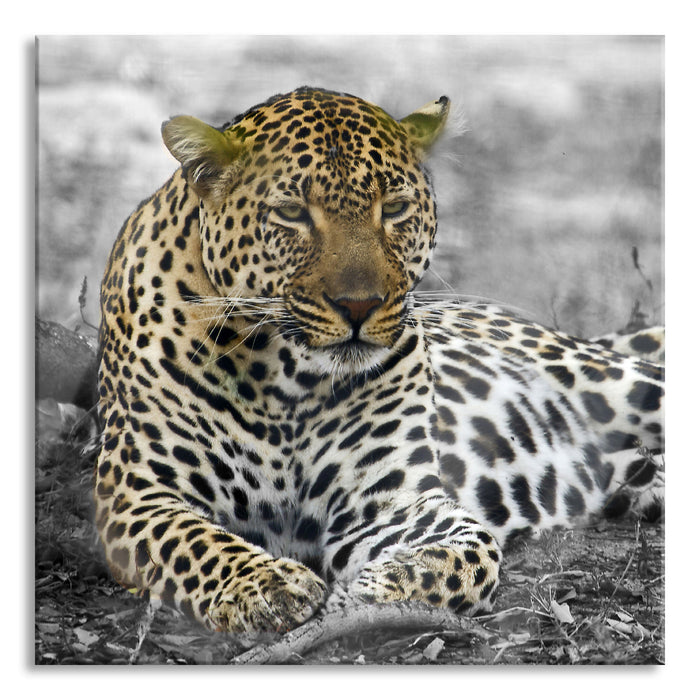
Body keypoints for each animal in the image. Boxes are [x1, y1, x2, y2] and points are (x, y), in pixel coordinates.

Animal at [95, 86, 664, 634]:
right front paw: (265, 585)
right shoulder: (135, 494)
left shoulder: (386, 503)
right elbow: (194, 541)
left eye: (393, 209)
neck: (285, 378)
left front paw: (375, 588)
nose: (359, 305)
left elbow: (472, 551)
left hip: (613, 381)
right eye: (292, 213)